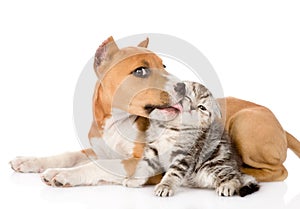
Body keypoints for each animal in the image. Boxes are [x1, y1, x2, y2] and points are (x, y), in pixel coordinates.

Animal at [123, 81, 258, 197]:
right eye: (188, 98)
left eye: (202, 107)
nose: (192, 107)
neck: (172, 128)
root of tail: (235, 167)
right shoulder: (153, 149)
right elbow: (144, 165)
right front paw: (134, 179)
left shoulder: (184, 154)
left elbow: (173, 173)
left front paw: (165, 186)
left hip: (215, 164)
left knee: (234, 177)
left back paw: (227, 186)